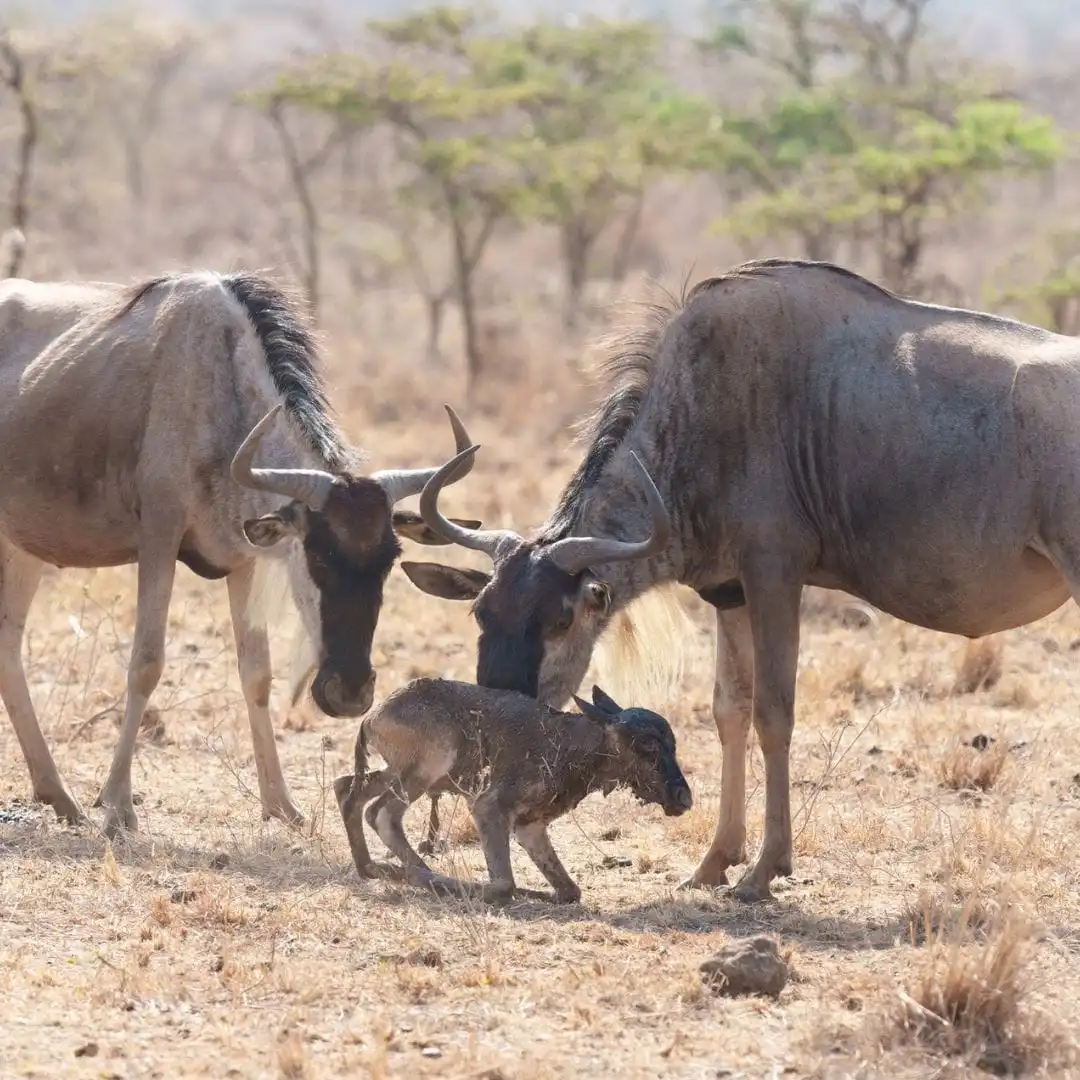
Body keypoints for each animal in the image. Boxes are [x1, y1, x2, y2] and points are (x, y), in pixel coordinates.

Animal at [0, 269, 479, 838]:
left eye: (387, 562)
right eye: (318, 557)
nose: (350, 694)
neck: (220, 384)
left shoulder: (244, 558)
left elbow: (257, 674)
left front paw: (282, 803)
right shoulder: (158, 538)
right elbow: (146, 662)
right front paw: (117, 806)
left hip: (22, 550)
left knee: (8, 644)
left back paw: (57, 795)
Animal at [402, 256, 1080, 902]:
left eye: (562, 618)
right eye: (481, 611)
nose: (491, 718)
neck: (704, 416)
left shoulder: (775, 576)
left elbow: (774, 713)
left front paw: (764, 871)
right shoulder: (728, 594)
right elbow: (729, 709)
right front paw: (713, 864)